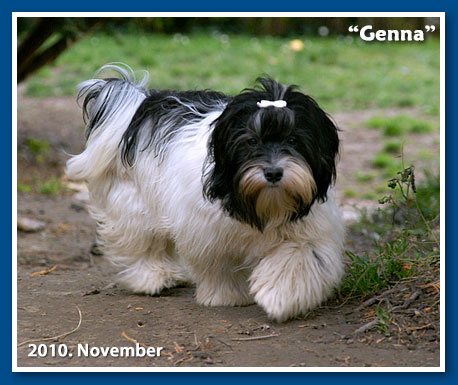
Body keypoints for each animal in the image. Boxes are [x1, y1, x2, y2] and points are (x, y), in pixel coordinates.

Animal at [67, 63, 344, 320]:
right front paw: (226, 295)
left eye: (293, 140)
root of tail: (143, 104)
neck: (262, 203)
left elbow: (299, 257)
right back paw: (154, 277)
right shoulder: (205, 231)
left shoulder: (308, 229)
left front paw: (280, 297)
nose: (274, 173)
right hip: (135, 202)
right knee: (143, 240)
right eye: (251, 141)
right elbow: (218, 265)